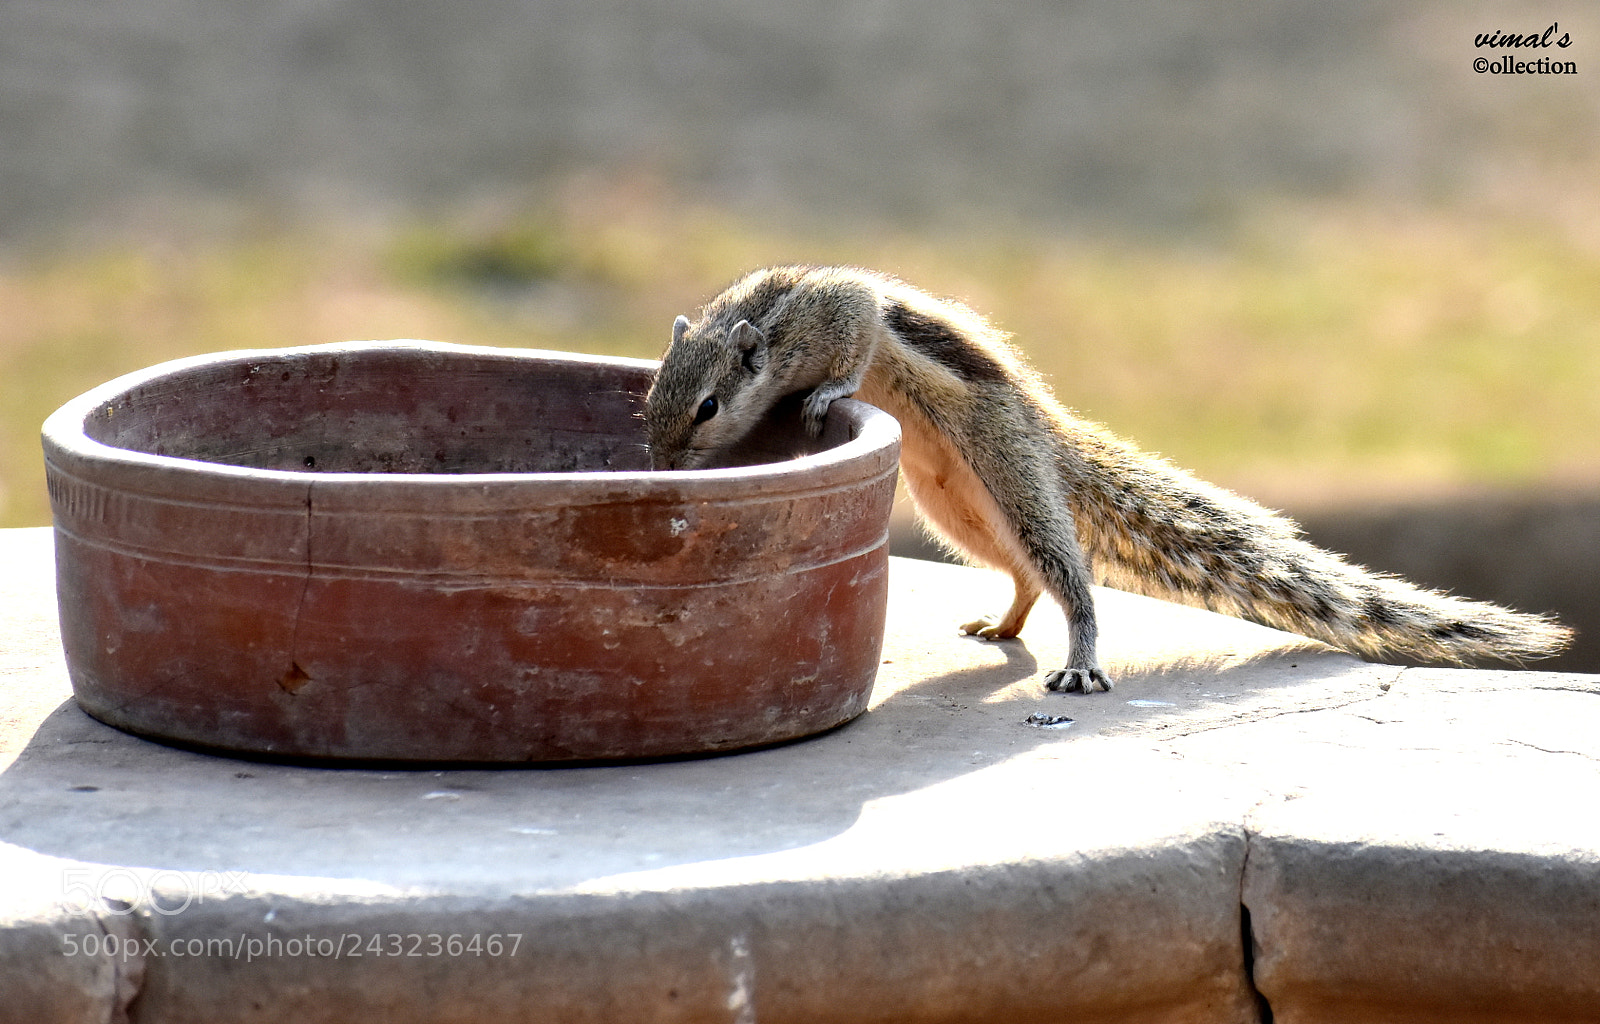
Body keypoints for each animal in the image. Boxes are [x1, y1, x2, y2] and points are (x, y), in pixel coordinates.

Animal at [643, 265, 1573, 693]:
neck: (755, 322)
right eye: (650, 401)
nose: (658, 468)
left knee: (1069, 574)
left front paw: (828, 394)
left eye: (708, 406)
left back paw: (1081, 656)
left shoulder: (842, 310)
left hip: (1010, 474)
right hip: (956, 507)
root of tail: (1049, 434)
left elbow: (859, 338)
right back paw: (1004, 621)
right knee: (1025, 572)